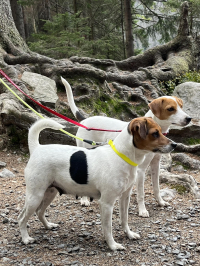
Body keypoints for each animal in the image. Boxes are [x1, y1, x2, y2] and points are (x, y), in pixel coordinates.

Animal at [18, 117, 176, 250]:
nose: (175, 144)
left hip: (50, 192)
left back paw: (48, 226)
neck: (122, 156)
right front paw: (112, 245)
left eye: (161, 131)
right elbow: (108, 227)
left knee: (39, 212)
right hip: (35, 196)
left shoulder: (125, 197)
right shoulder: (106, 203)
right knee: (22, 218)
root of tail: (37, 148)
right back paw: (25, 239)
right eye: (155, 133)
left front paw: (129, 234)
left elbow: (124, 220)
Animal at [61, 77, 192, 216]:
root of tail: (84, 120)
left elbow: (156, 187)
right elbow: (141, 194)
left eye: (181, 107)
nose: (189, 118)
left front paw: (160, 202)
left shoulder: (155, 165)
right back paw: (85, 199)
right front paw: (142, 210)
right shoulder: (141, 170)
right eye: (171, 108)